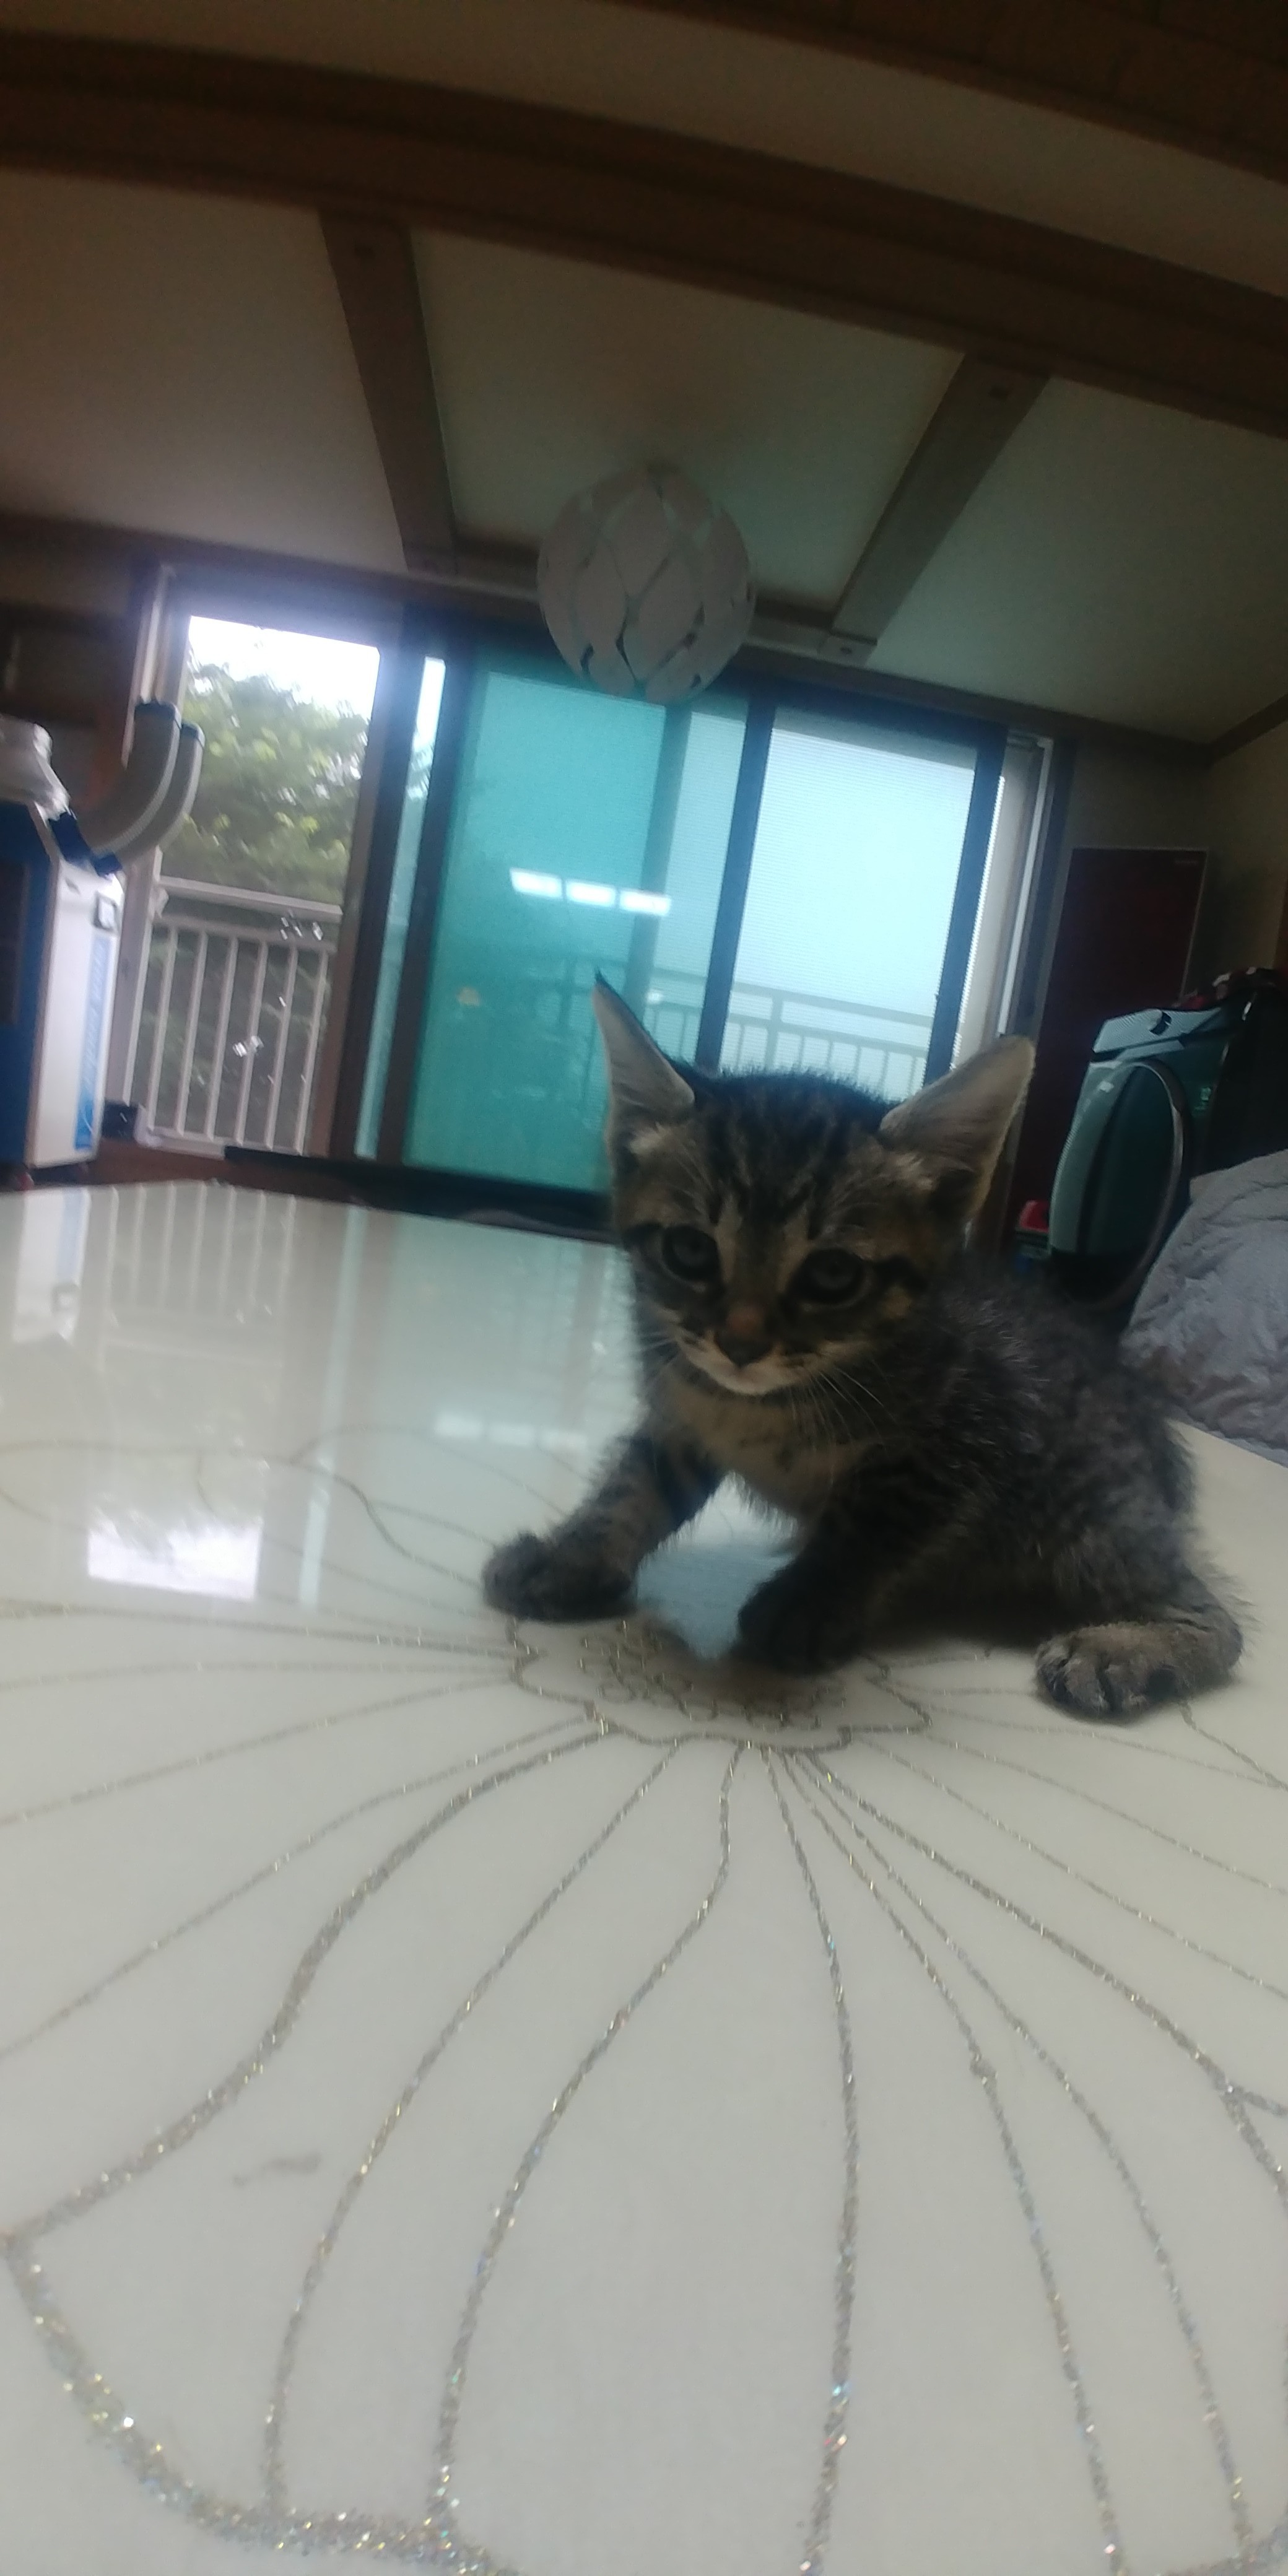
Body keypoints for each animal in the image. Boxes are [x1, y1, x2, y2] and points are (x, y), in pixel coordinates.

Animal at [484, 980, 1241, 1717]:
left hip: (1084, 1517)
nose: (739, 1343)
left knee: (1220, 1621)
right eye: (690, 1251)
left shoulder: (965, 1441)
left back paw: (1122, 1650)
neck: (764, 1402)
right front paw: (570, 1557)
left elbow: (870, 1527)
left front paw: (805, 1602)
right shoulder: (681, 1415)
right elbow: (633, 1486)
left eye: (832, 1274)